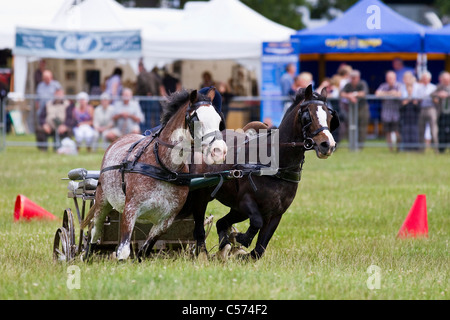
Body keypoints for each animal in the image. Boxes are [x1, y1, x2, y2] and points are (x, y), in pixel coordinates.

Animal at [81, 87, 227, 260]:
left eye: (218, 120)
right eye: (197, 120)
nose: (220, 151)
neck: (164, 168)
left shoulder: (166, 219)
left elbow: (145, 249)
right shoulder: (130, 210)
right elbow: (123, 250)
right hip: (102, 201)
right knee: (95, 231)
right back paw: (86, 255)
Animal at [182, 85, 338, 260]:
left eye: (330, 116)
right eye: (307, 116)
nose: (328, 145)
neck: (276, 166)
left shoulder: (276, 213)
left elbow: (259, 249)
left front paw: (238, 250)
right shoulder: (245, 202)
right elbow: (256, 222)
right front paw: (240, 238)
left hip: (236, 209)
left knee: (221, 223)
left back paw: (224, 247)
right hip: (202, 197)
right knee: (200, 228)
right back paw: (204, 253)